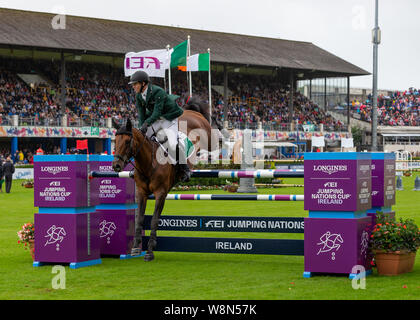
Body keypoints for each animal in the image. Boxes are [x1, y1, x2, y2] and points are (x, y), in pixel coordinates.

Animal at [111, 106, 213, 262]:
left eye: (128, 141)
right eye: (115, 141)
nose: (116, 166)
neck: (149, 163)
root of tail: (191, 111)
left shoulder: (160, 193)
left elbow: (154, 219)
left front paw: (150, 251)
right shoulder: (141, 192)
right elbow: (139, 219)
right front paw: (135, 248)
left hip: (209, 136)